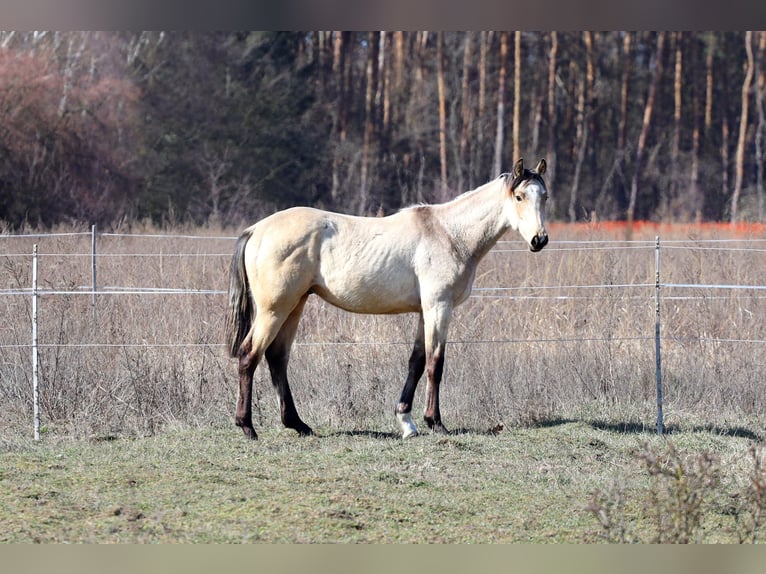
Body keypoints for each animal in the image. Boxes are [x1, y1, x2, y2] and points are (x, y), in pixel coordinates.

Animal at [225, 158, 549, 440]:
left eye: (544, 196)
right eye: (519, 196)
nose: (540, 240)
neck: (449, 234)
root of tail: (257, 230)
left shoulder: (425, 311)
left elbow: (416, 361)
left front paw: (406, 421)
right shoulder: (439, 307)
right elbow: (435, 364)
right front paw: (435, 422)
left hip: (295, 306)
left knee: (277, 358)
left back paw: (297, 424)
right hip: (274, 310)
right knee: (249, 355)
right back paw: (247, 427)